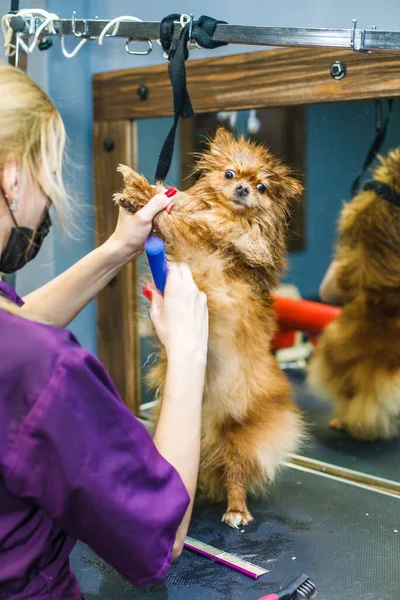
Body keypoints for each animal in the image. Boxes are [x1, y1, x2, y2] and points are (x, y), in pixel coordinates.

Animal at [114, 129, 304, 528]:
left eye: (262, 187)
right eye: (230, 174)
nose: (243, 189)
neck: (225, 219)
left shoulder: (200, 248)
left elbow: (174, 224)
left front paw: (144, 191)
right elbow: (177, 216)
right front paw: (138, 198)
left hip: (237, 439)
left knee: (235, 474)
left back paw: (236, 509)